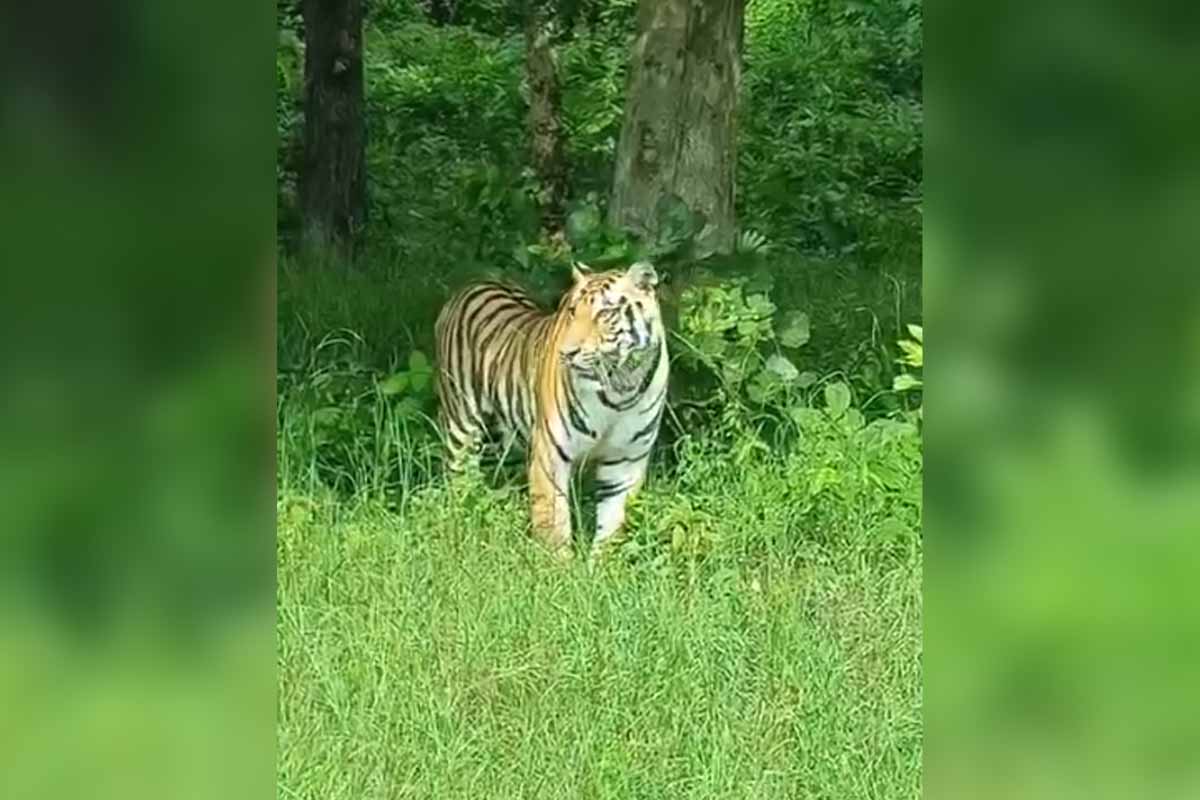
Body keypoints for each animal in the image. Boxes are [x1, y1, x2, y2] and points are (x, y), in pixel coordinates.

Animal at [434, 261, 669, 562]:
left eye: (604, 313)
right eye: (572, 311)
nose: (568, 353)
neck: (620, 387)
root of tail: (473, 282)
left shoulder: (626, 461)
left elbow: (614, 522)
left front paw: (602, 565)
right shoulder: (551, 454)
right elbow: (553, 520)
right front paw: (558, 567)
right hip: (461, 426)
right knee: (459, 479)